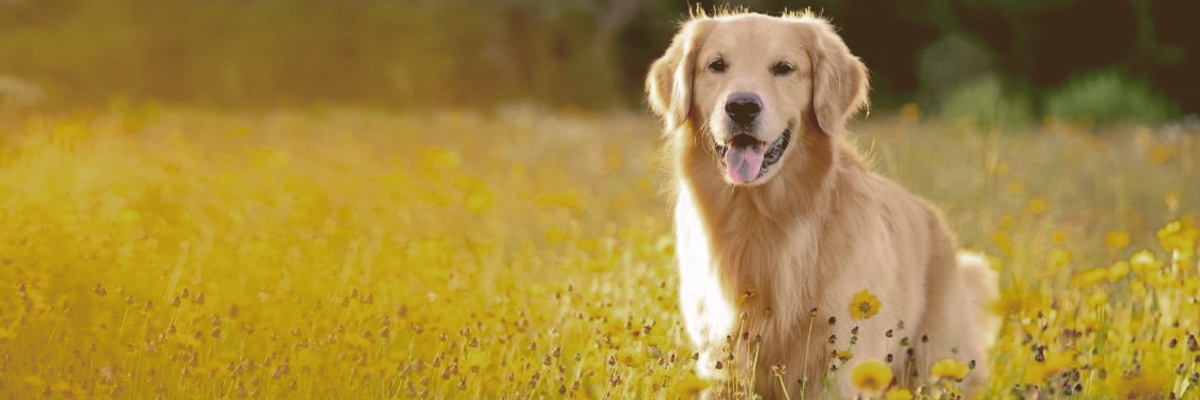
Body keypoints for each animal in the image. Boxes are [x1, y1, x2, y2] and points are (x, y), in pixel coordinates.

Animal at [648, 10, 993, 398]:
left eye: (784, 68)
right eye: (717, 65)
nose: (742, 106)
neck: (761, 220)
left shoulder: (844, 364)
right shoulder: (721, 362)